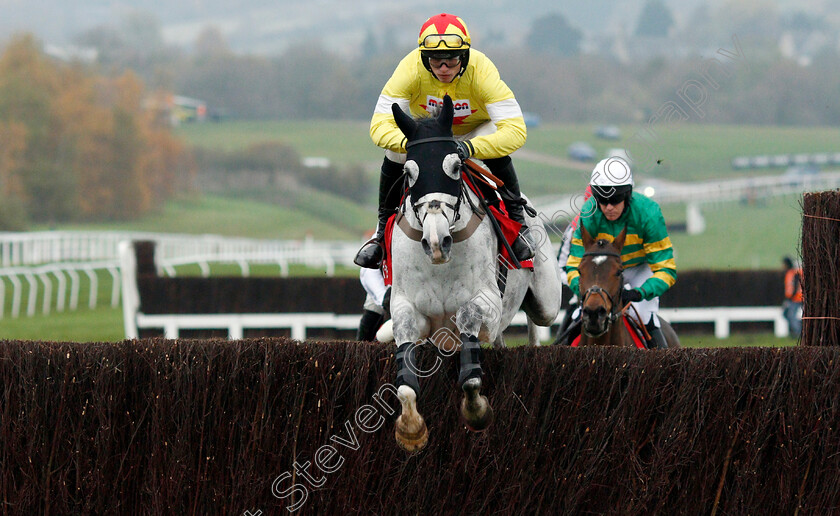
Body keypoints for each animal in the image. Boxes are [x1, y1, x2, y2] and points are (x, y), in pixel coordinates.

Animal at [388, 95, 560, 452]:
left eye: (455, 166)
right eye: (409, 173)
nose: (436, 241)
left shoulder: (487, 302)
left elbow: (469, 335)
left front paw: (477, 410)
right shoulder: (408, 309)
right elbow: (406, 383)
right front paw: (411, 429)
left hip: (547, 302)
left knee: (537, 316)